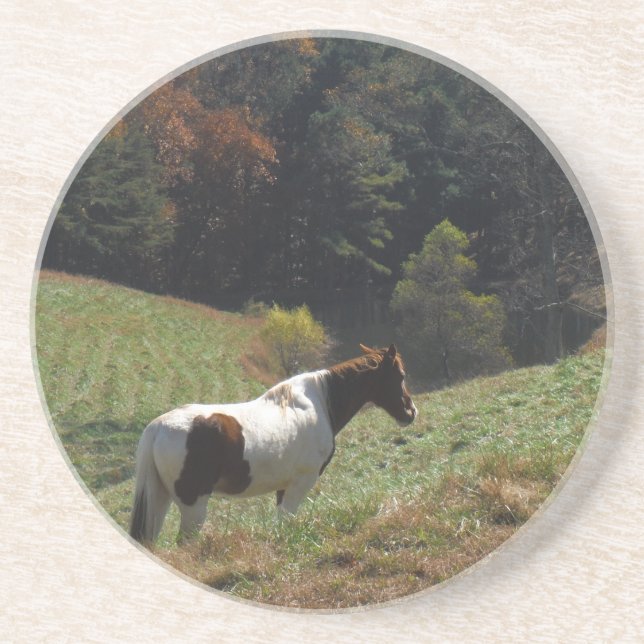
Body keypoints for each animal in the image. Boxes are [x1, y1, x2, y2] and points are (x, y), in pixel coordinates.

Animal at [129, 343, 417, 544]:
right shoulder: (300, 483)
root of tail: (158, 427)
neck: (319, 403)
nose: (410, 412)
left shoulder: (283, 487)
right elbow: (287, 522)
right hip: (193, 505)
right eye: (401, 375)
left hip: (160, 498)